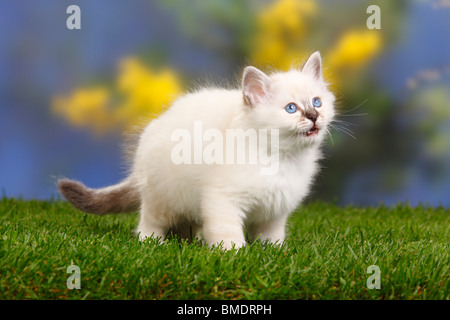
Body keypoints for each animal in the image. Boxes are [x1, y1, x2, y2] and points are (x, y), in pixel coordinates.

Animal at [58, 51, 334, 249]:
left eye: (317, 102)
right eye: (291, 108)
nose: (313, 116)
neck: (281, 156)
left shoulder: (275, 211)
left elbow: (272, 239)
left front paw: (275, 254)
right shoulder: (223, 200)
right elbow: (229, 235)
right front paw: (234, 256)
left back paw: (194, 241)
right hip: (163, 198)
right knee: (148, 221)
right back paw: (152, 243)